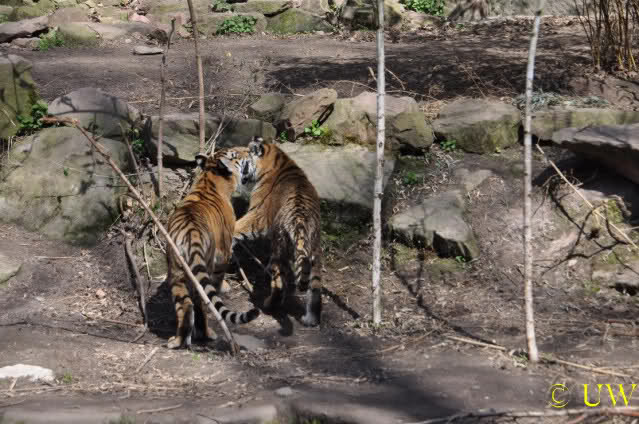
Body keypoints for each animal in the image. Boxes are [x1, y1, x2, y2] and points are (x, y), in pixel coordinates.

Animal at [165, 147, 260, 349]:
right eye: (235, 154)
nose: (249, 149)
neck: (209, 178)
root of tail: (189, 234)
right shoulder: (224, 251)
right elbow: (220, 276)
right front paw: (224, 287)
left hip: (176, 272)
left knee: (185, 305)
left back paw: (178, 341)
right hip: (202, 266)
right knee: (203, 303)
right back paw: (208, 334)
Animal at [233, 136, 322, 327]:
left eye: (245, 158)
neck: (278, 159)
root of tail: (300, 218)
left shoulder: (258, 214)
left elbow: (241, 225)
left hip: (278, 248)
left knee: (280, 284)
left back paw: (268, 305)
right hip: (315, 249)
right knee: (315, 287)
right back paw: (311, 320)